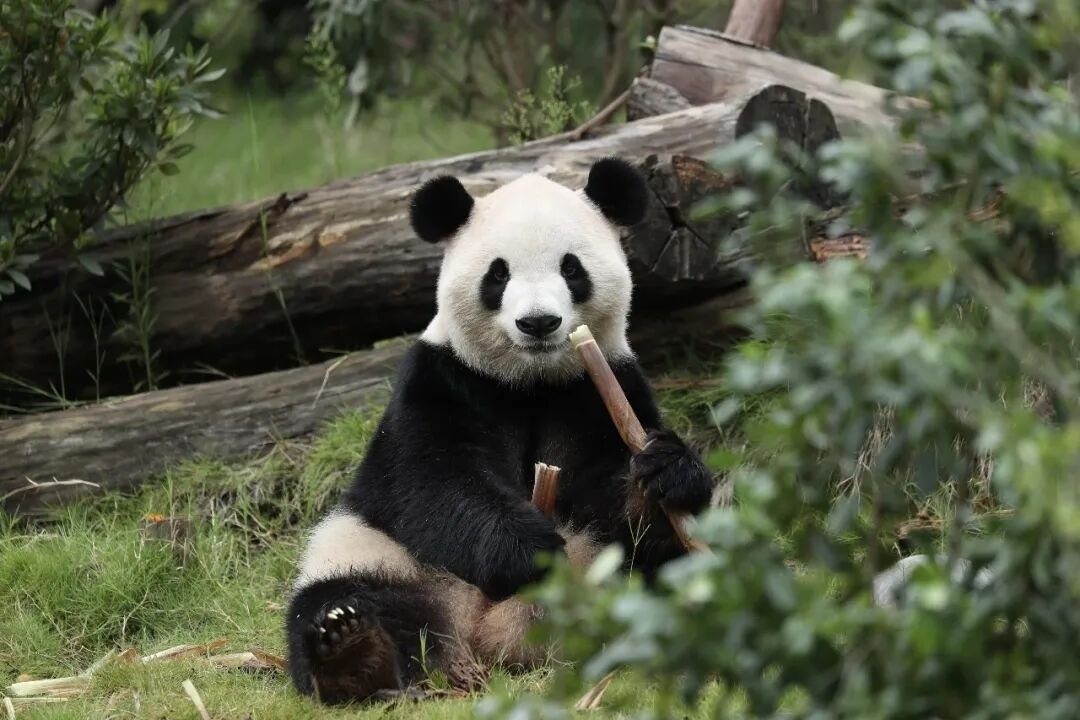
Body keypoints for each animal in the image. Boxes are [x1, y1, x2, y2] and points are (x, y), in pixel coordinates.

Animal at [285, 157, 716, 704]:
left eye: (571, 268)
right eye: (498, 273)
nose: (538, 323)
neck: (529, 382)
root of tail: (485, 638)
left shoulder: (600, 387)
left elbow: (611, 491)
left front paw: (664, 472)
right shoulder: (441, 380)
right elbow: (432, 480)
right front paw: (526, 550)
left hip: (604, 571)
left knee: (663, 570)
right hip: (376, 551)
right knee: (343, 596)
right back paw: (354, 652)